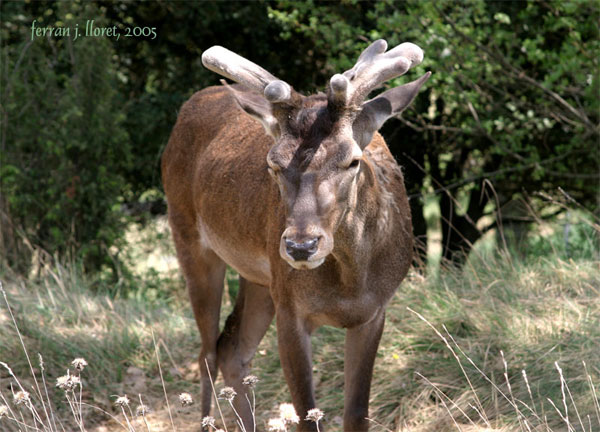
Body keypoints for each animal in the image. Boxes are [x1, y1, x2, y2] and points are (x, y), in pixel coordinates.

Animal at [161, 38, 432, 430]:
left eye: (353, 160)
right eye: (273, 163)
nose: (300, 246)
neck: (350, 285)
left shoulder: (375, 312)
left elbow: (357, 413)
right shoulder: (290, 310)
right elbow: (307, 415)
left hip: (262, 279)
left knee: (231, 349)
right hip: (189, 238)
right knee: (207, 353)